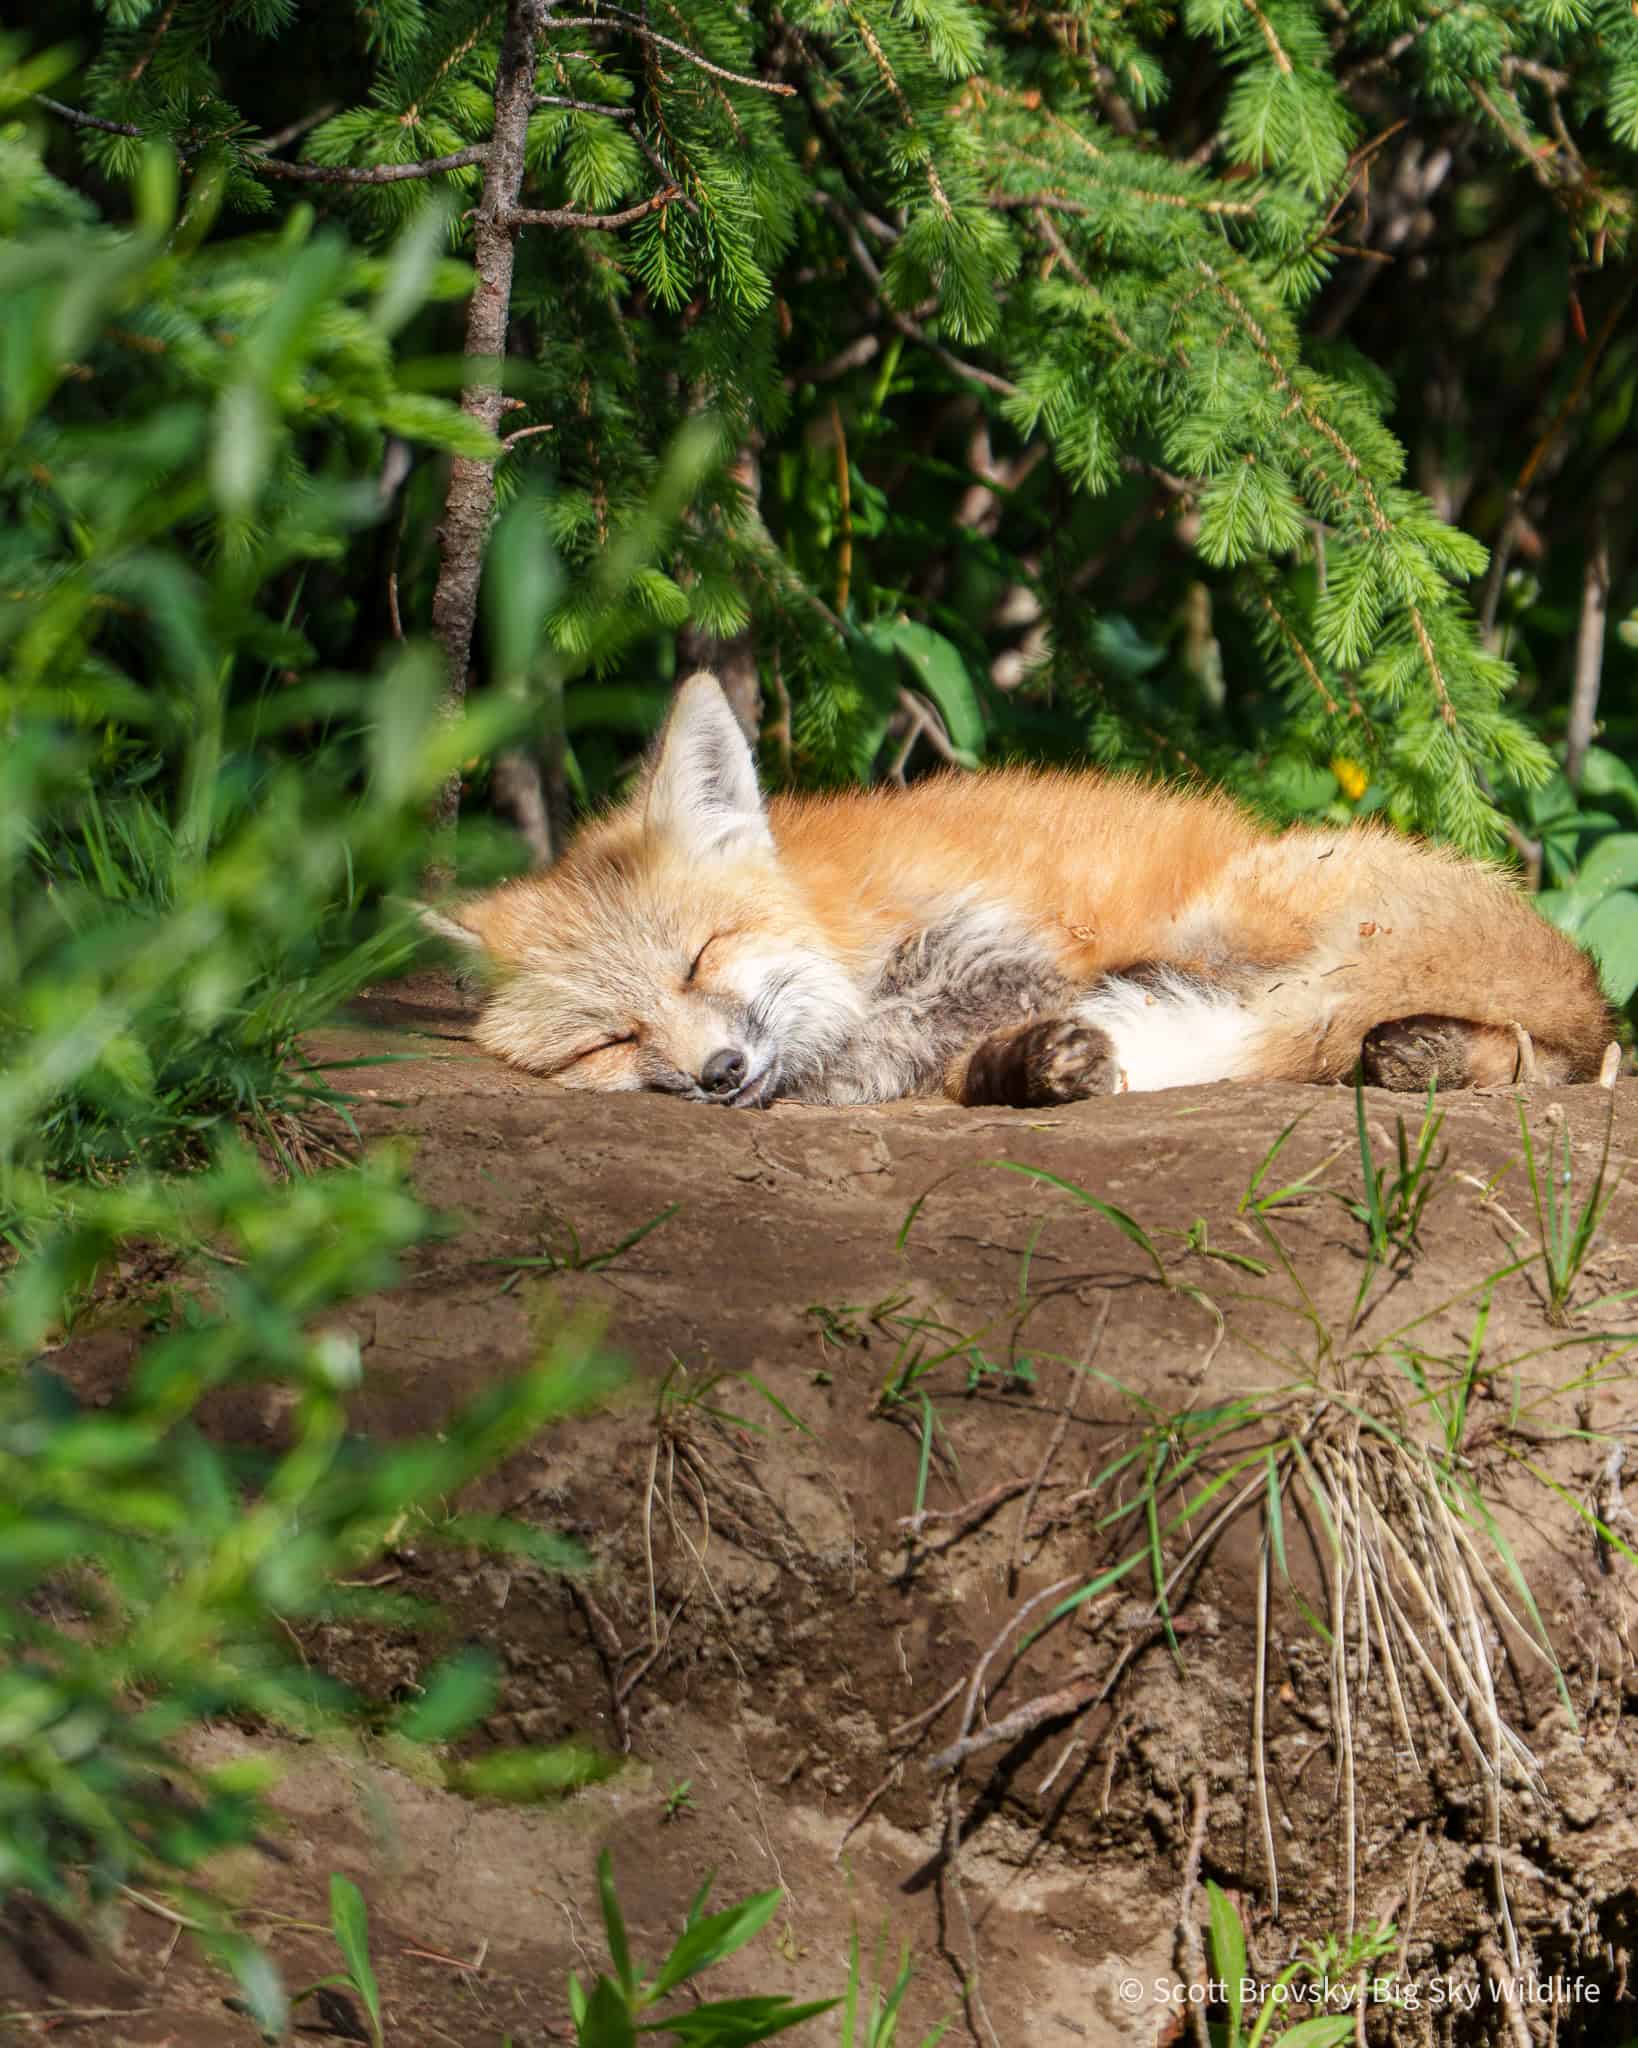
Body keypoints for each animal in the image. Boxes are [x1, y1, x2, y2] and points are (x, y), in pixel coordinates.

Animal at [423, 670, 1614, 1110]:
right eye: (608, 1040)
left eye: (701, 956)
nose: (718, 1072)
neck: (842, 918)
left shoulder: (1007, 950)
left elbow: (891, 1040)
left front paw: (827, 1071)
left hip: (1237, 913)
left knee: (1555, 1056)